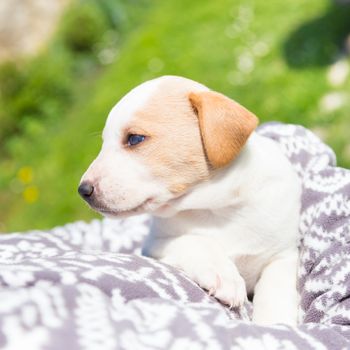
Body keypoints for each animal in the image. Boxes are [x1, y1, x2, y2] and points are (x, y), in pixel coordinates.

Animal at [78, 76, 300, 326]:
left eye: (134, 138)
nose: (83, 190)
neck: (213, 208)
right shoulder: (157, 244)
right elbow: (196, 241)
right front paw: (224, 275)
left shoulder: (282, 253)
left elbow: (275, 288)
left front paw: (275, 324)